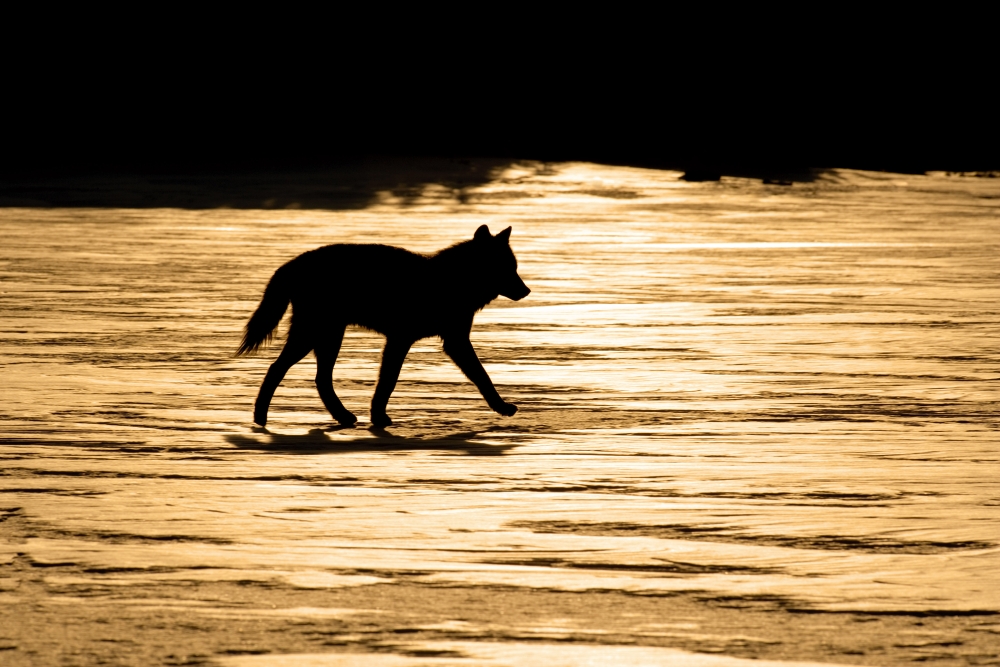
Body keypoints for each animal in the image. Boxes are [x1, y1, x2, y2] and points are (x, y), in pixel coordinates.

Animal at [236, 225, 530, 428]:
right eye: (506, 268)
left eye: (514, 267)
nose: (526, 291)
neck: (452, 281)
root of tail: (292, 263)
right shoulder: (403, 339)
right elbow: (389, 381)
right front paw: (379, 417)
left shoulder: (453, 341)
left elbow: (482, 377)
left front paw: (501, 407)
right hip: (313, 335)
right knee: (277, 369)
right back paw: (260, 418)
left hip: (328, 337)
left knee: (320, 379)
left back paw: (342, 417)